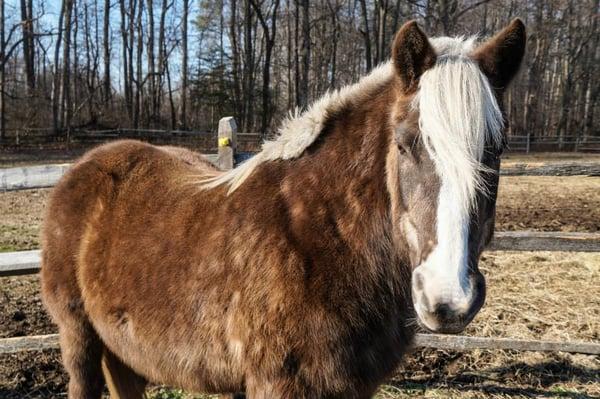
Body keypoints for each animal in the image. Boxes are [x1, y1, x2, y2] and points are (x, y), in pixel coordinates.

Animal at [41, 19, 524, 399]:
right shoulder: (279, 384)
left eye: (496, 149)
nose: (448, 299)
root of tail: (87, 165)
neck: (323, 239)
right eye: (405, 144)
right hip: (79, 337)